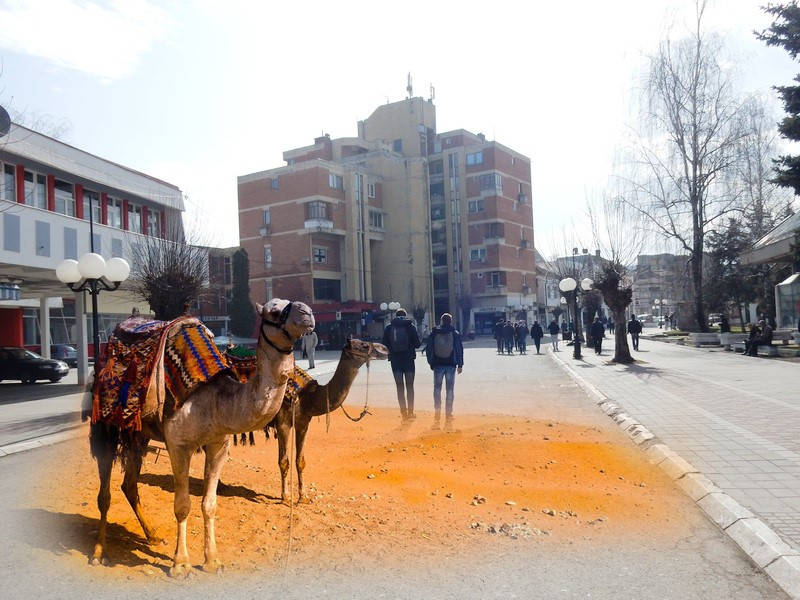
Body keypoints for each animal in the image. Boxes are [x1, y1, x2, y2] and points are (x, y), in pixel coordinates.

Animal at [87, 300, 312, 576]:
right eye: (274, 311)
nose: (307, 313)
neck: (215, 400)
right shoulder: (178, 445)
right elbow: (182, 505)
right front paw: (180, 564)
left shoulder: (218, 444)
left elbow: (209, 504)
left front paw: (212, 561)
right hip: (105, 424)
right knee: (105, 493)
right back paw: (99, 553)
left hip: (139, 433)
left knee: (129, 484)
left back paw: (153, 536)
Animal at [270, 340, 390, 504]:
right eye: (364, 345)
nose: (385, 349)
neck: (307, 396)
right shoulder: (283, 422)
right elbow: (283, 461)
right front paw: (285, 497)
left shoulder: (303, 423)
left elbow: (300, 461)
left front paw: (303, 497)